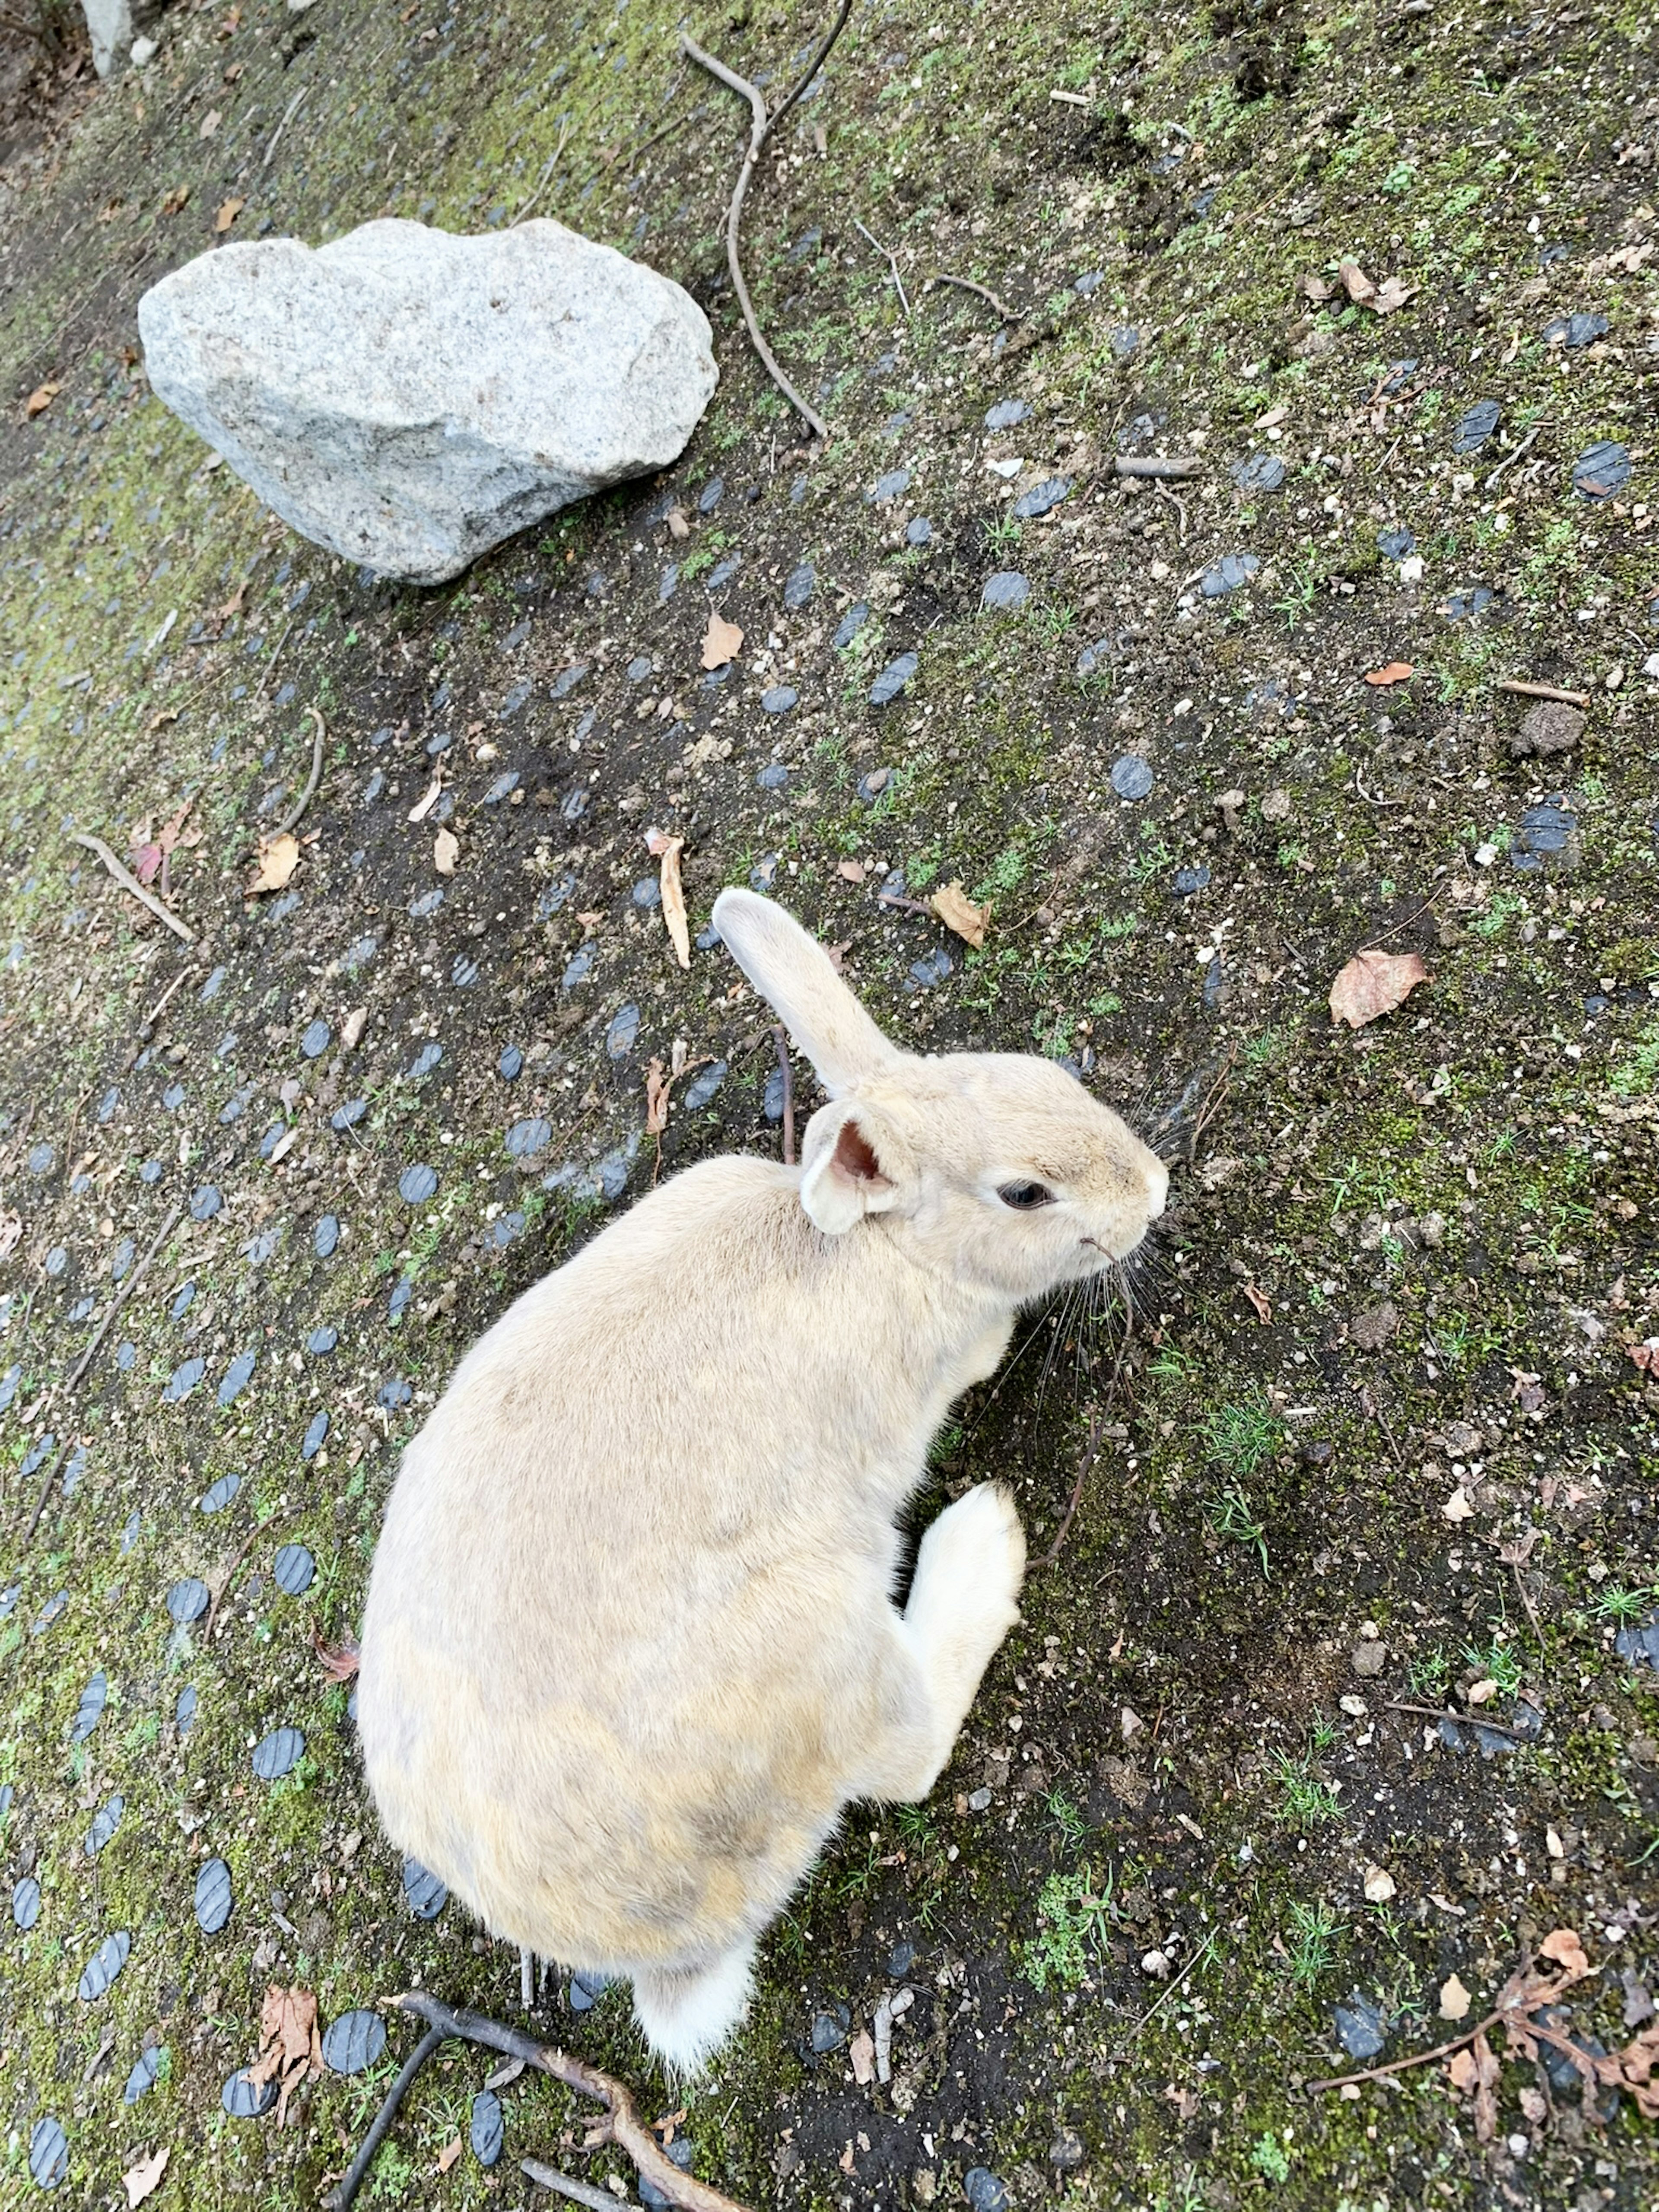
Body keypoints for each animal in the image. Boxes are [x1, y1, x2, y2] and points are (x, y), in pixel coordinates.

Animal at [360, 889, 1168, 2061]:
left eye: (1050, 1074)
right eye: (1025, 1192)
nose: (1153, 1189)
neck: (886, 1249)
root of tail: (656, 1948)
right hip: (815, 1640)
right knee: (906, 1754)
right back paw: (979, 1539)